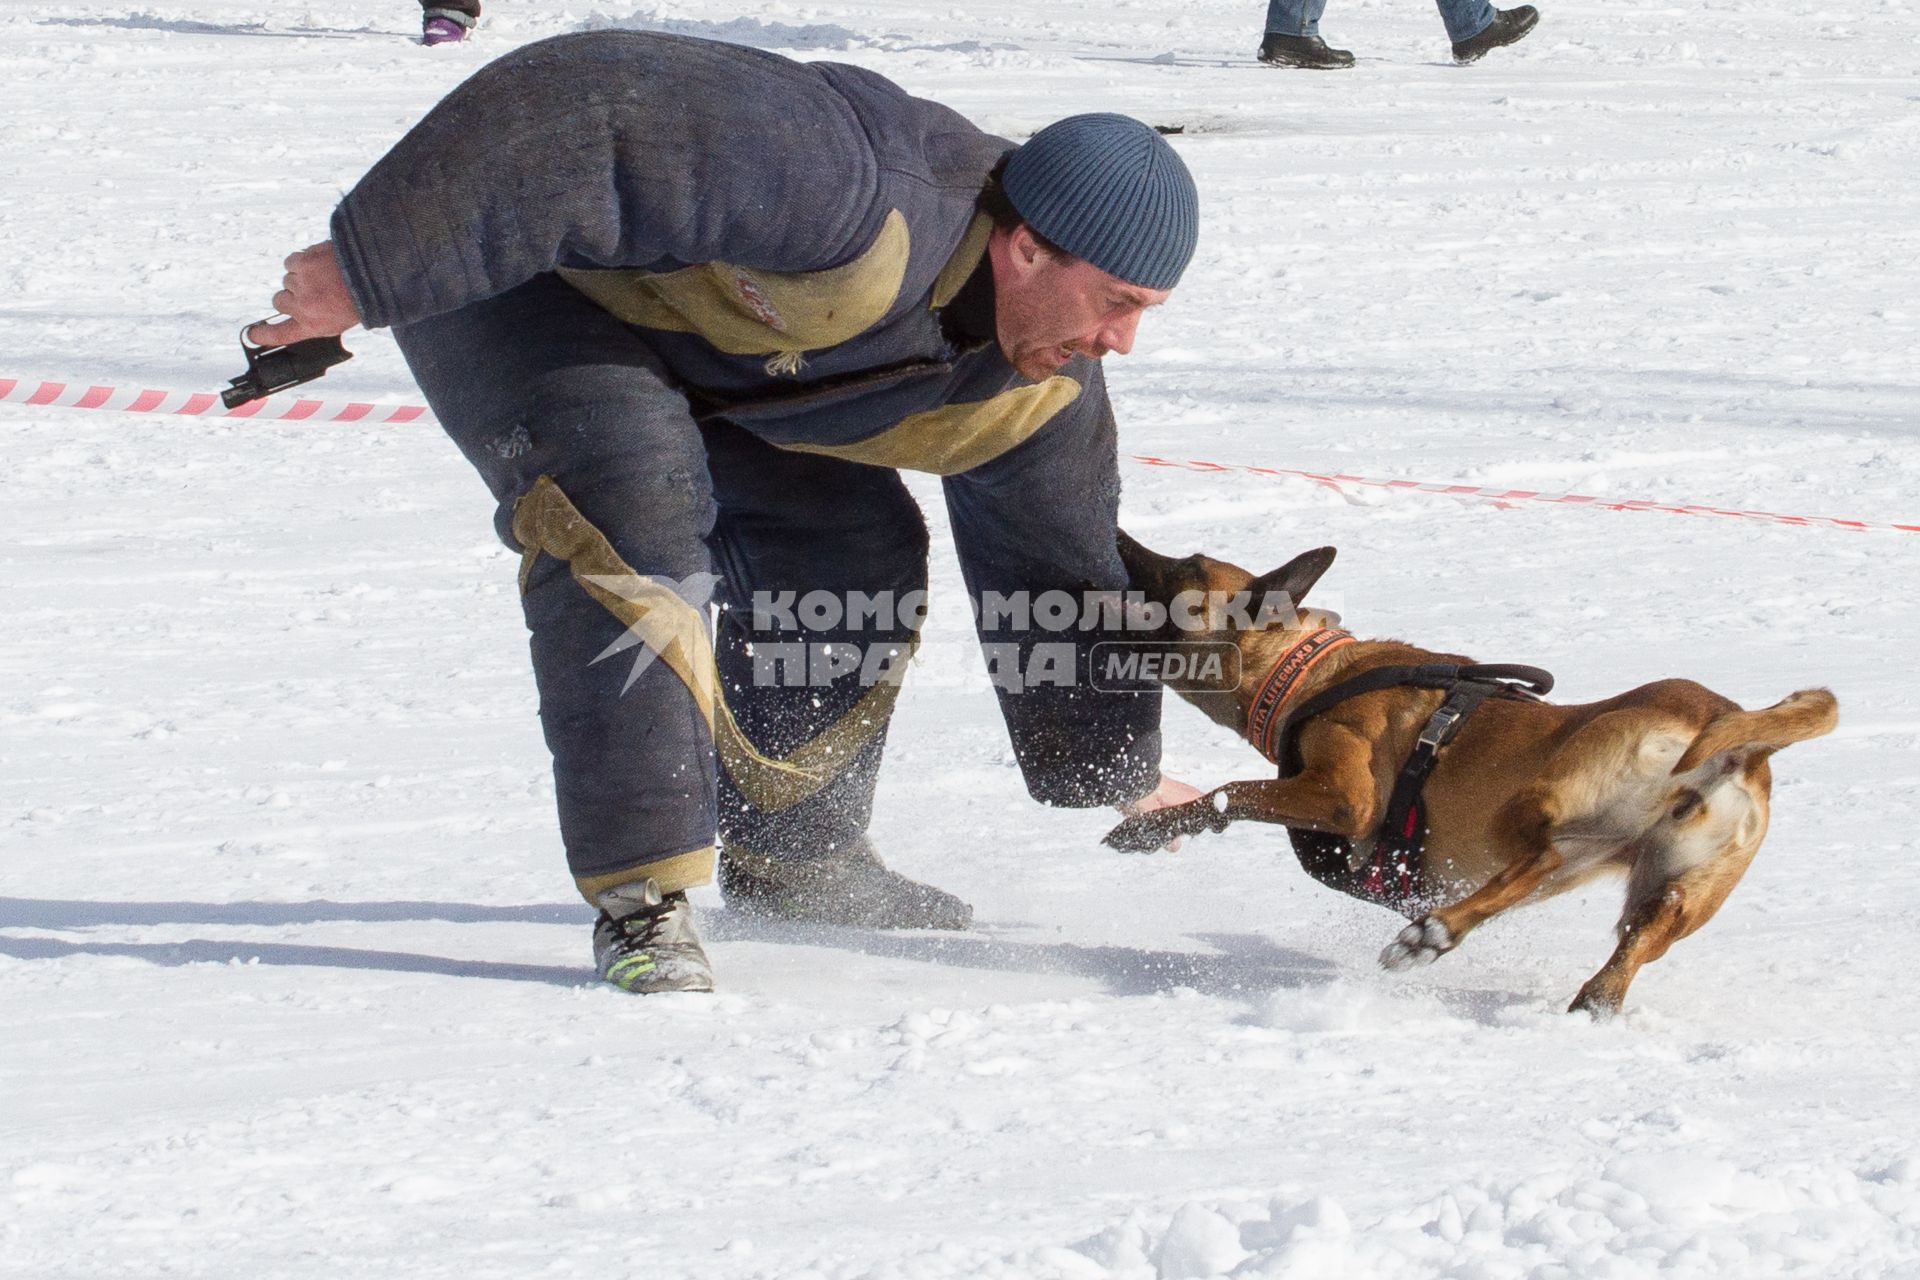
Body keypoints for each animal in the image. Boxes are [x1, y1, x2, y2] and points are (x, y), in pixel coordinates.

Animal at [1105, 537, 1835, 1013]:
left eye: (1186, 568)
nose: (1117, 536)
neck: (1308, 672)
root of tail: (1728, 727)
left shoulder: (1345, 797)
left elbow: (1232, 796)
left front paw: (1150, 827)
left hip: (1536, 807)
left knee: (1536, 862)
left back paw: (1432, 935)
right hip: (1672, 883)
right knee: (1634, 941)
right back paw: (1589, 994)